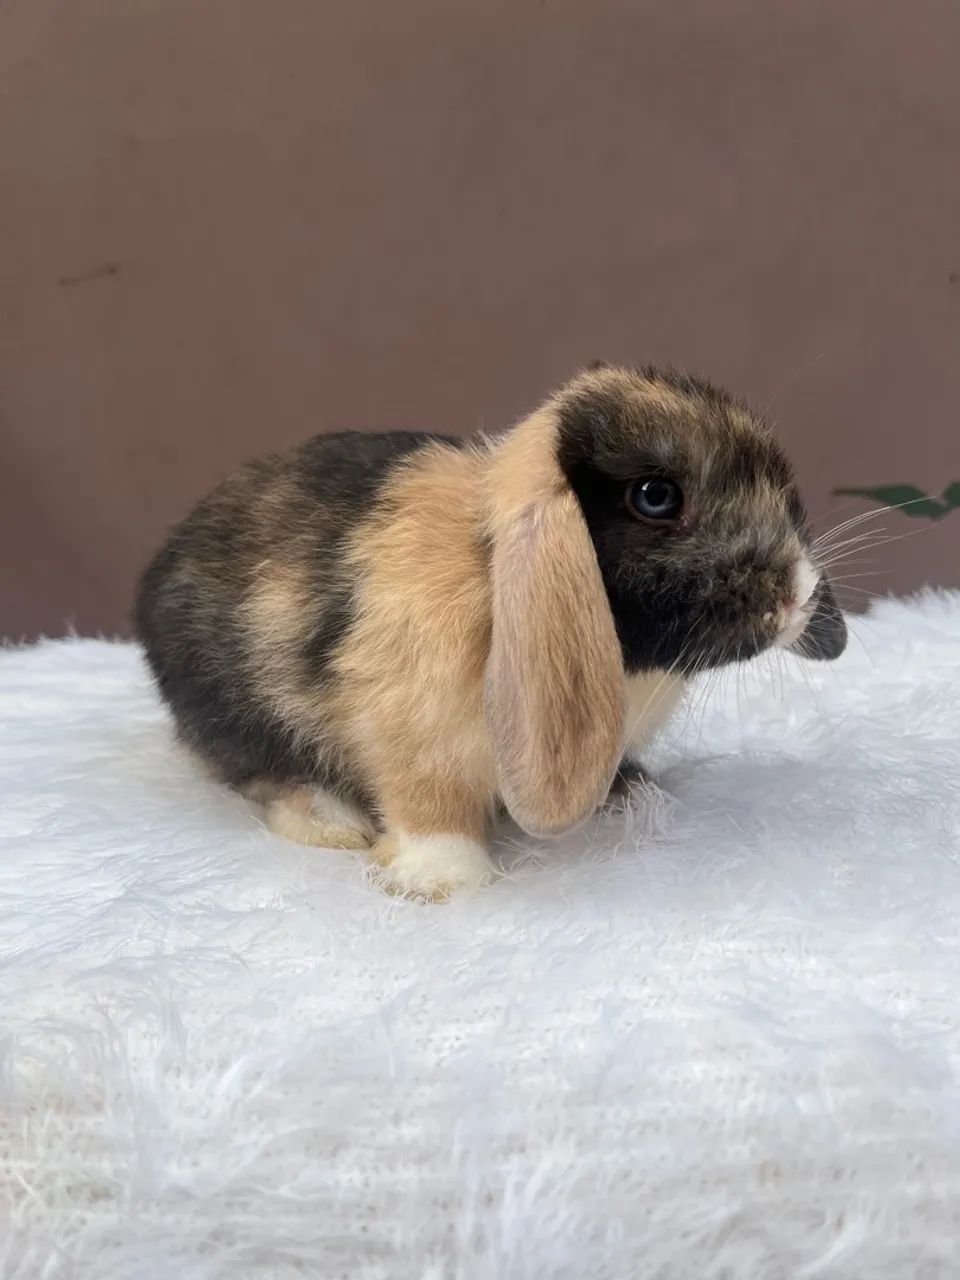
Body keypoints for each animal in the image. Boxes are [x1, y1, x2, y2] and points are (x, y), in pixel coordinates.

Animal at [136, 363, 846, 898]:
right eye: (655, 496)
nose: (797, 594)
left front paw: (633, 796)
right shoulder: (414, 734)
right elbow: (430, 808)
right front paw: (440, 882)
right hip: (232, 706)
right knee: (259, 771)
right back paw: (333, 822)